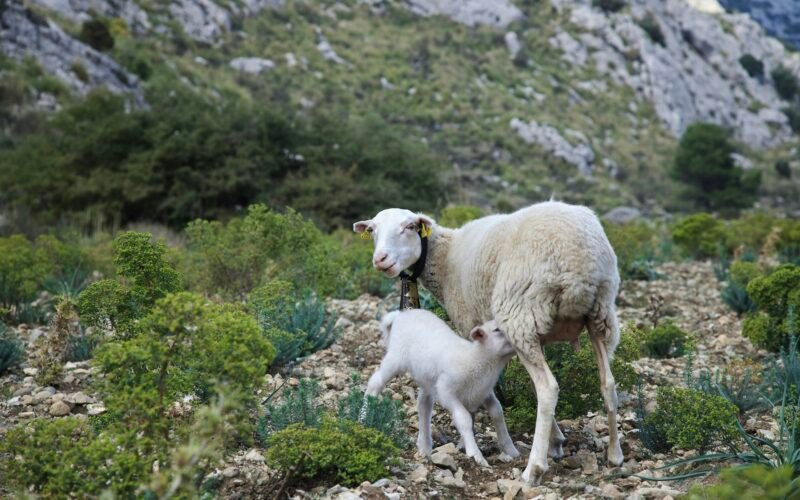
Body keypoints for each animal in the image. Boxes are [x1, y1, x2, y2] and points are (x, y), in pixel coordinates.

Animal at [365, 309, 520, 466]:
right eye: (497, 330)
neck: (476, 360)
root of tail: (401, 314)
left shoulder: (484, 392)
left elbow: (497, 412)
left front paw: (510, 449)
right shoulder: (446, 391)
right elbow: (464, 418)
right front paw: (475, 454)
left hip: (427, 380)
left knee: (423, 406)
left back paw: (424, 446)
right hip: (396, 358)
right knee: (375, 382)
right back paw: (364, 414)